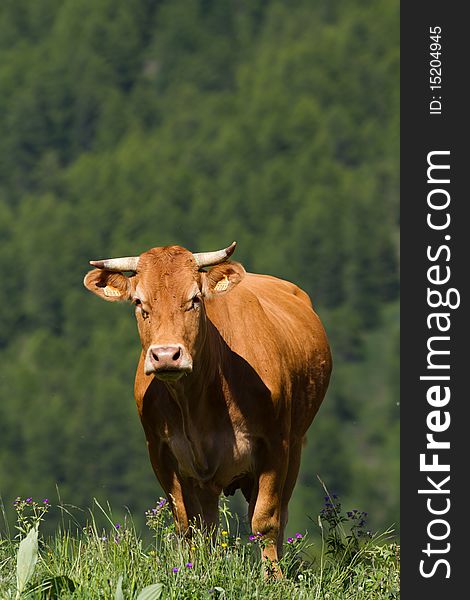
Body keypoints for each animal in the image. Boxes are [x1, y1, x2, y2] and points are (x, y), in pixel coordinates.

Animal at [85, 241, 334, 576]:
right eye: (139, 302)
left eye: (195, 299)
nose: (166, 355)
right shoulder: (161, 452)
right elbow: (186, 523)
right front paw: (193, 572)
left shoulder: (275, 445)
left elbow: (265, 519)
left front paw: (273, 578)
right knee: (209, 524)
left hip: (294, 446)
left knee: (279, 514)